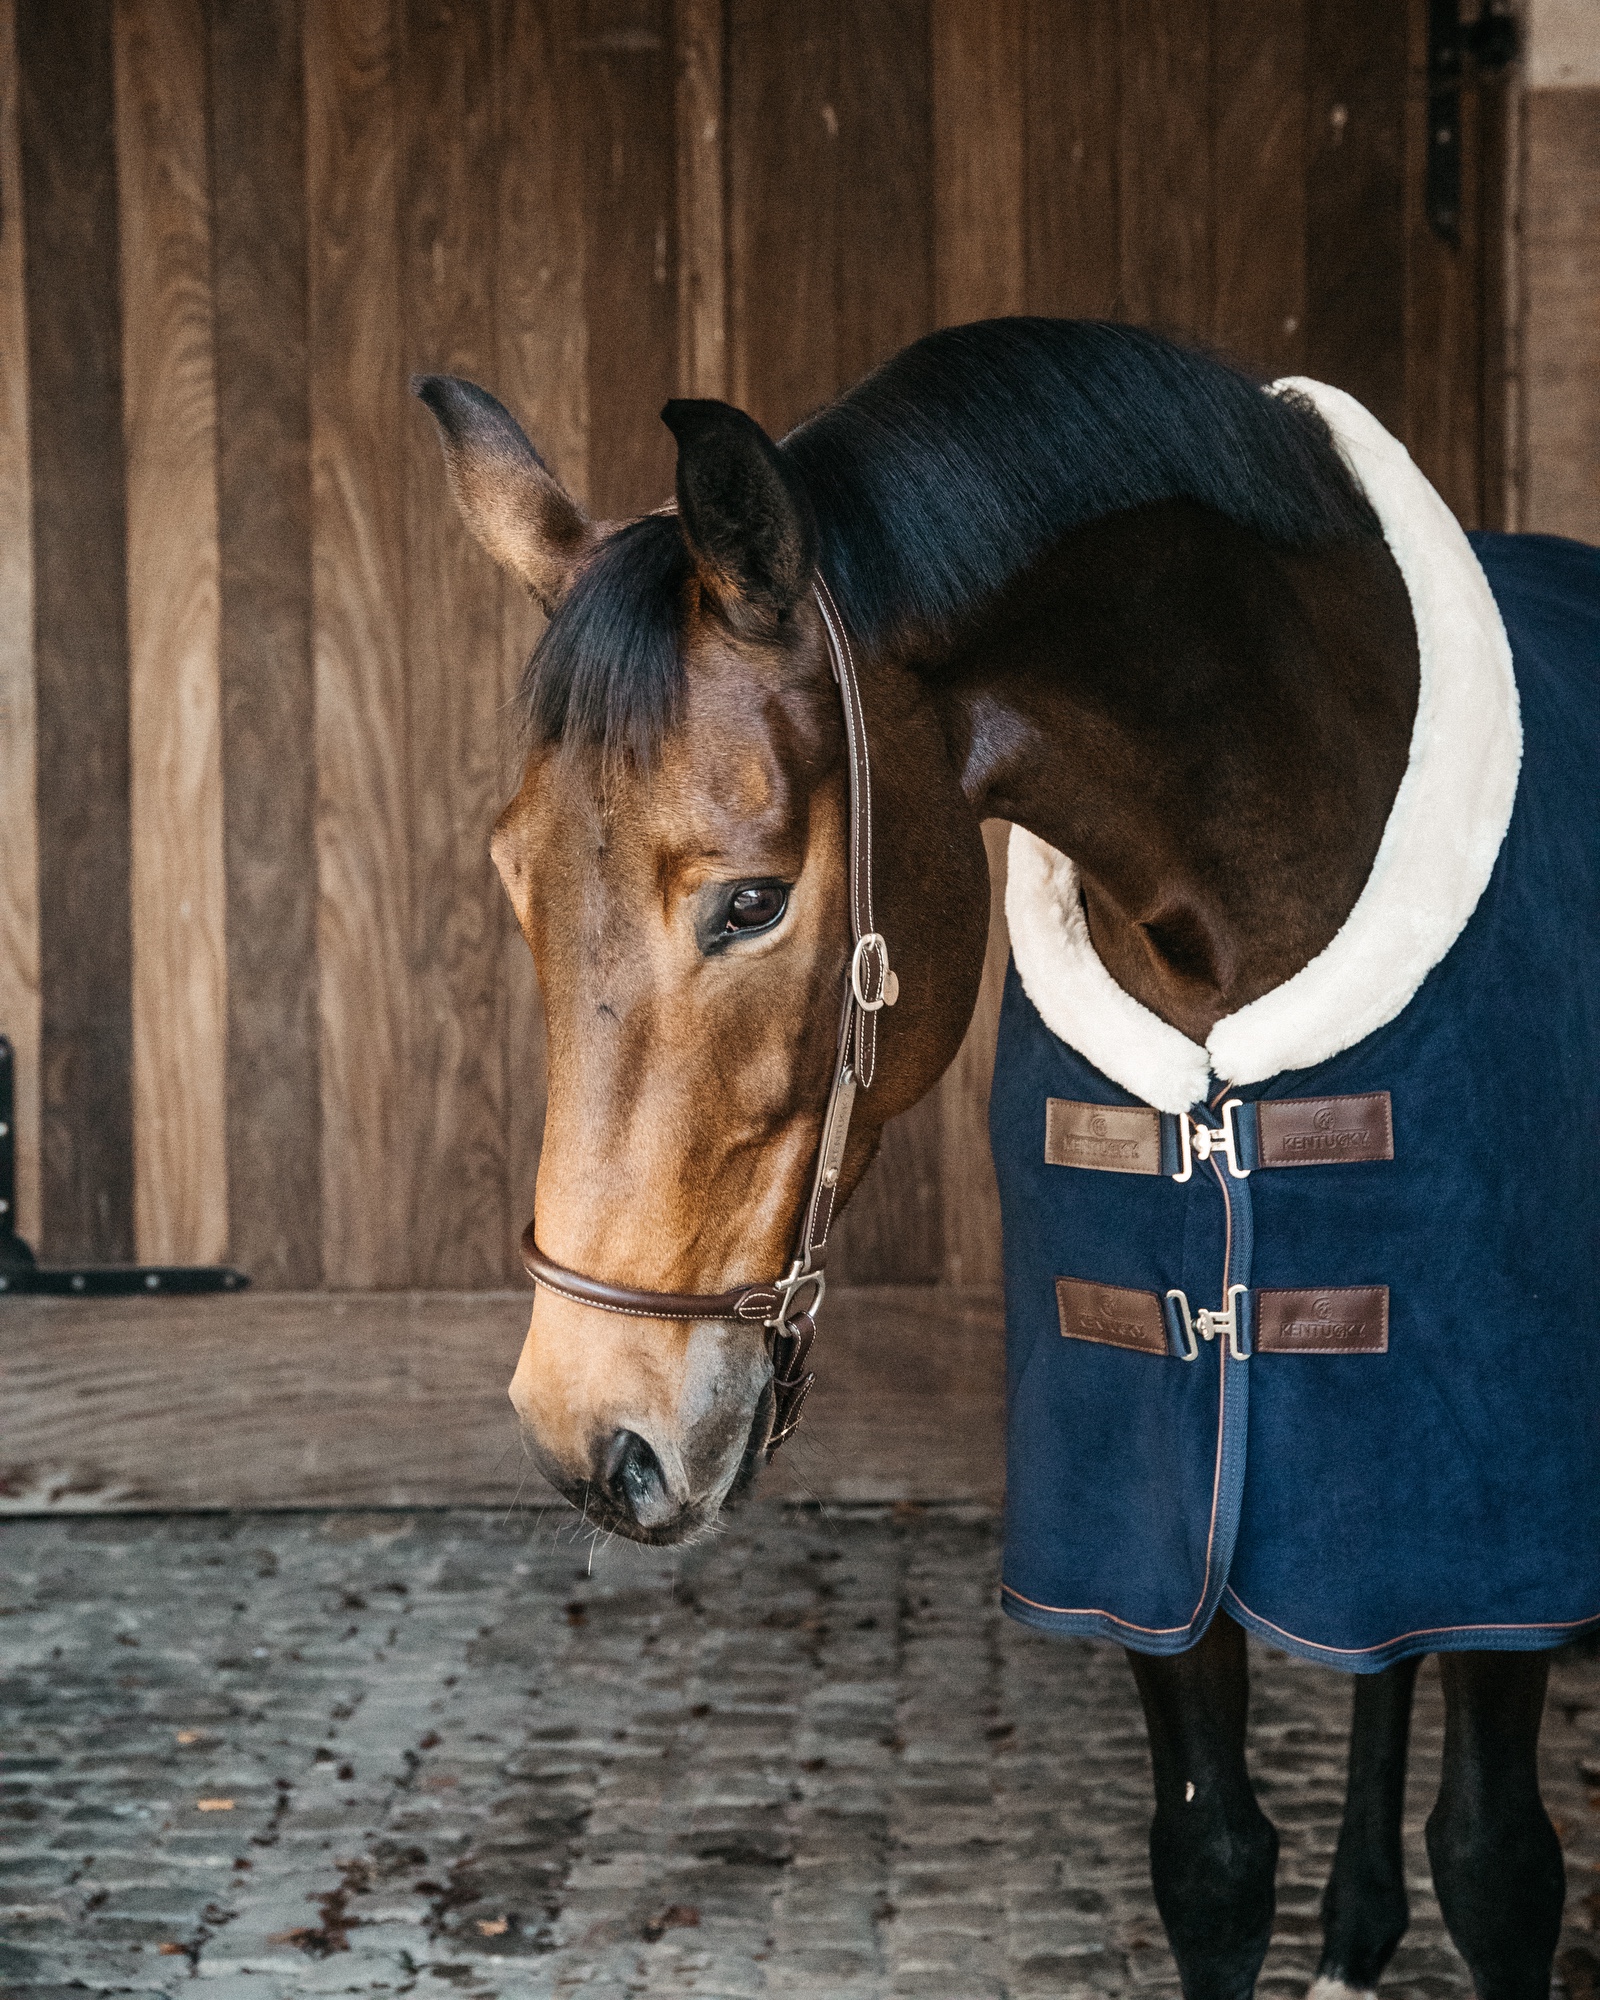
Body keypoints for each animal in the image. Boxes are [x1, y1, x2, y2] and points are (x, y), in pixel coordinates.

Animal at [418, 320, 1592, 1992]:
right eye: (514, 882)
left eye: (752, 903)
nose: (591, 1436)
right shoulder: (1160, 1500)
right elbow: (1213, 1862)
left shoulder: (1508, 1502)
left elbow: (1496, 1867)